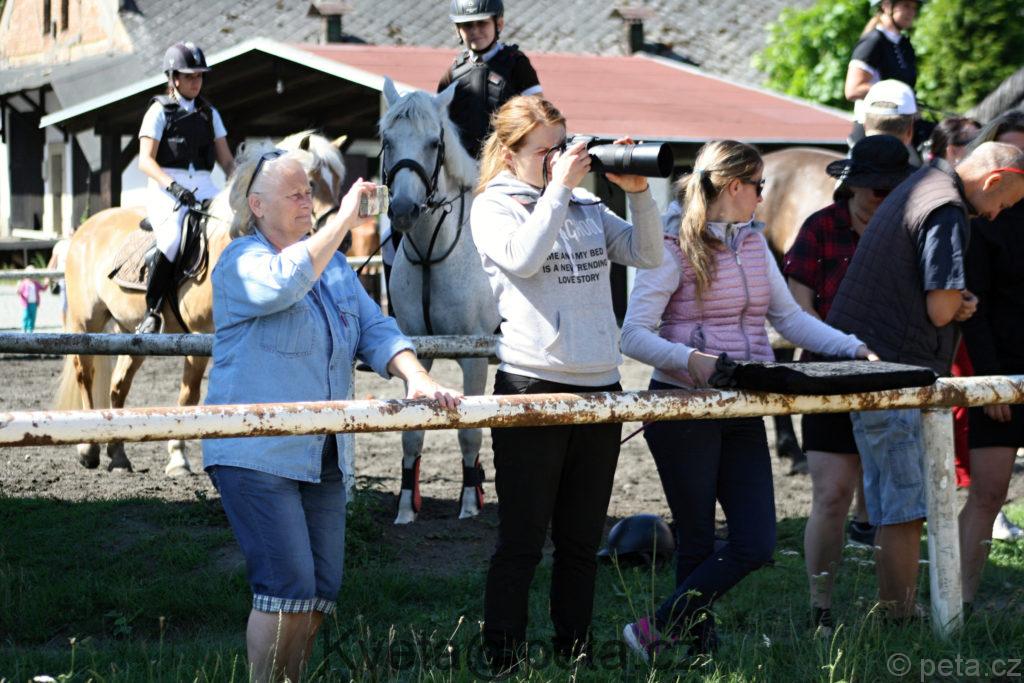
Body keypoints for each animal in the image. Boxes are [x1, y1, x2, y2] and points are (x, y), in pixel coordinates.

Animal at [53, 130, 348, 476]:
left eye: (338, 182)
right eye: (310, 183)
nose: (342, 238)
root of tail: (85, 228)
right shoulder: (199, 336)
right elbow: (189, 397)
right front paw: (178, 459)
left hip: (133, 334)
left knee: (118, 384)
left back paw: (118, 454)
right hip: (86, 321)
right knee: (85, 374)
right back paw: (88, 448)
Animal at [380, 77, 501, 524]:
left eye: (434, 142)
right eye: (387, 140)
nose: (403, 210)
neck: (435, 253)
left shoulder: (474, 358)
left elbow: (470, 431)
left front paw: (468, 503)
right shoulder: (418, 352)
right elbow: (411, 434)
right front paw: (404, 508)